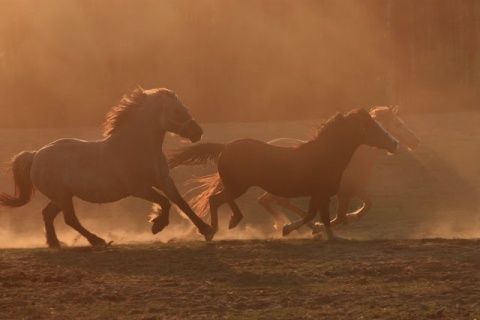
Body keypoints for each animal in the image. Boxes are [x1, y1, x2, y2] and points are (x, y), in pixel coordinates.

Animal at [0, 87, 214, 248]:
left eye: (185, 108)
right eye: (176, 111)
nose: (198, 132)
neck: (139, 147)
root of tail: (35, 155)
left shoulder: (163, 179)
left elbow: (181, 203)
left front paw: (207, 230)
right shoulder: (139, 189)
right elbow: (165, 202)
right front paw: (157, 225)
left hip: (62, 197)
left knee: (48, 214)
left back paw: (55, 243)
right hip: (62, 196)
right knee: (70, 219)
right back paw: (97, 240)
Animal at [167, 109, 400, 241]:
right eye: (372, 126)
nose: (395, 144)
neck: (325, 154)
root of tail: (225, 147)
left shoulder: (322, 195)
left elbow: (317, 215)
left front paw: (324, 234)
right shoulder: (322, 193)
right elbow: (317, 215)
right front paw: (292, 229)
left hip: (235, 185)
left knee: (216, 199)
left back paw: (215, 229)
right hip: (238, 186)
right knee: (217, 199)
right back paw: (223, 226)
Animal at [255, 106, 420, 229]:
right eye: (398, 124)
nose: (415, 141)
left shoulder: (356, 189)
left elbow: (367, 204)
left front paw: (351, 217)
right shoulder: (344, 192)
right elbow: (340, 217)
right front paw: (324, 226)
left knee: (267, 201)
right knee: (273, 201)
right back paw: (296, 225)